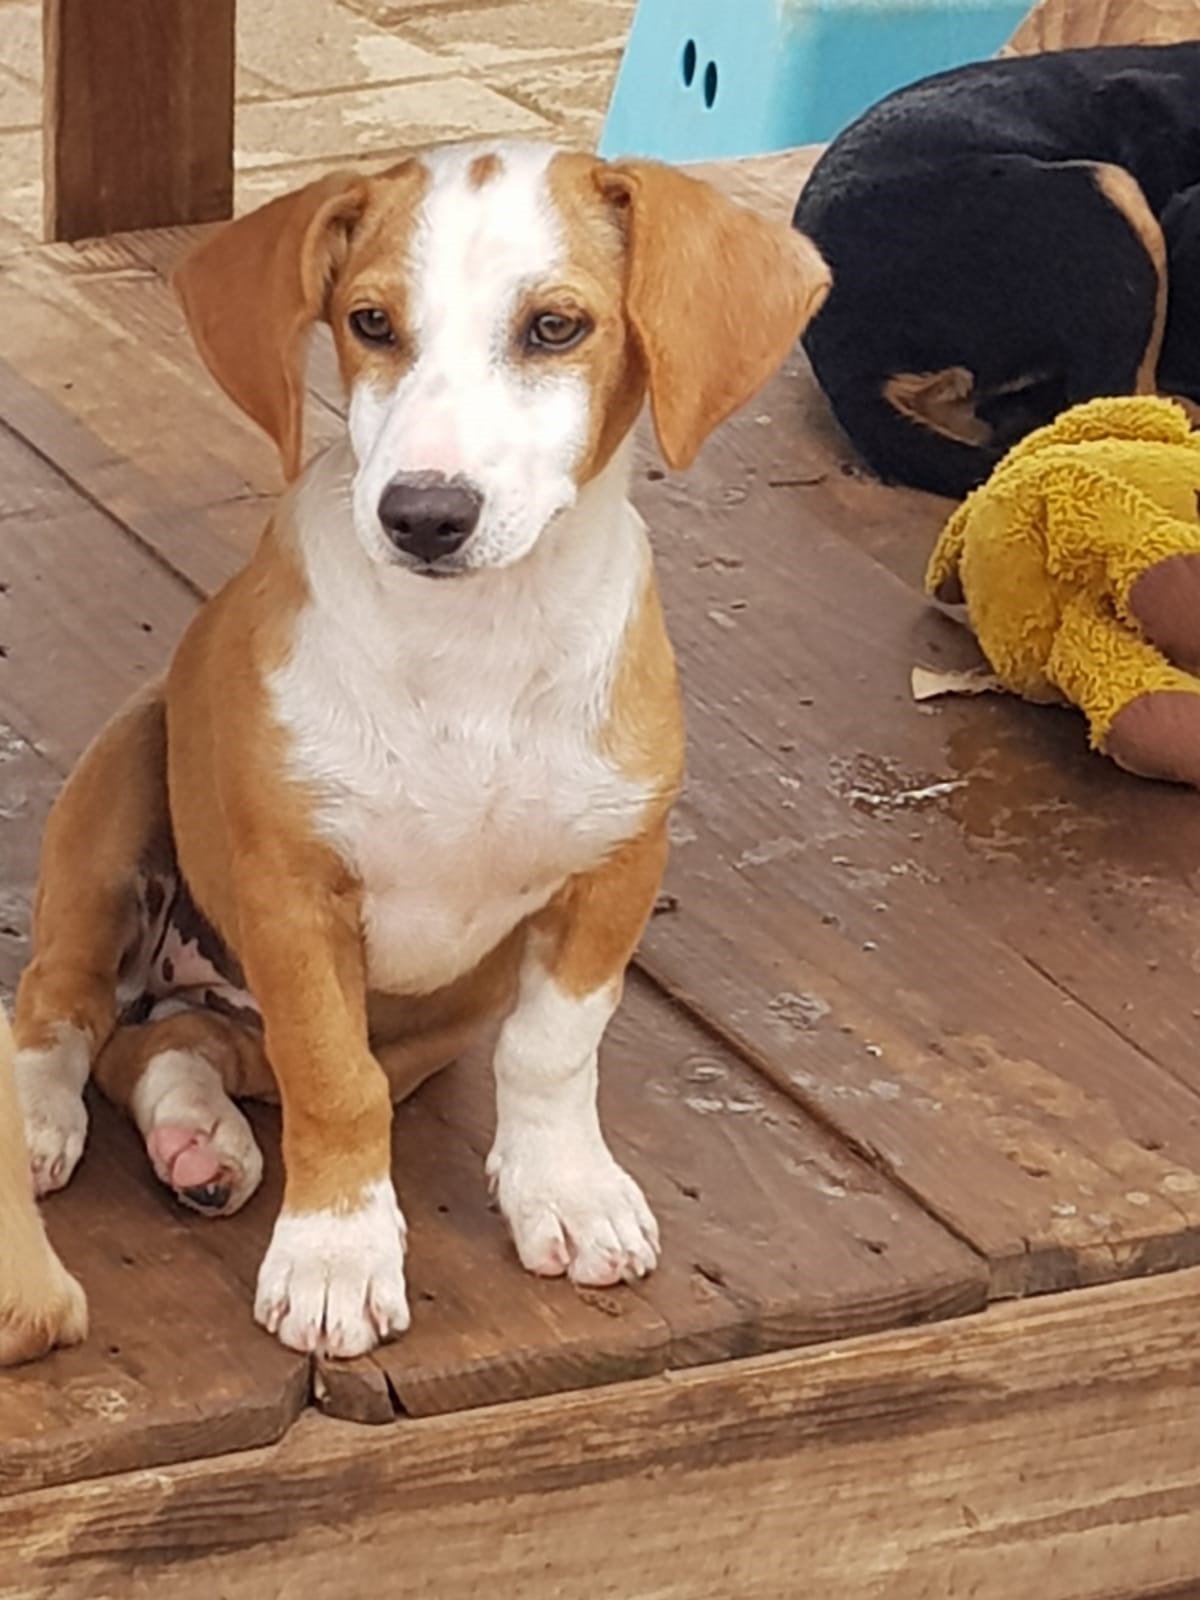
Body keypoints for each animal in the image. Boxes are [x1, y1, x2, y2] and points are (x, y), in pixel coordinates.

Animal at [10, 142, 831, 1359]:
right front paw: (337, 1255)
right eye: (370, 322)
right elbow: (330, 1078)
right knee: (63, 1003)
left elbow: (551, 1047)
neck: (470, 651)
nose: (425, 515)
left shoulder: (613, 872)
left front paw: (565, 1191)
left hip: (402, 1033)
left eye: (555, 327)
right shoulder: (293, 890)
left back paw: (201, 1138)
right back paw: (41, 1122)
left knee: (177, 1048)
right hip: (115, 802)